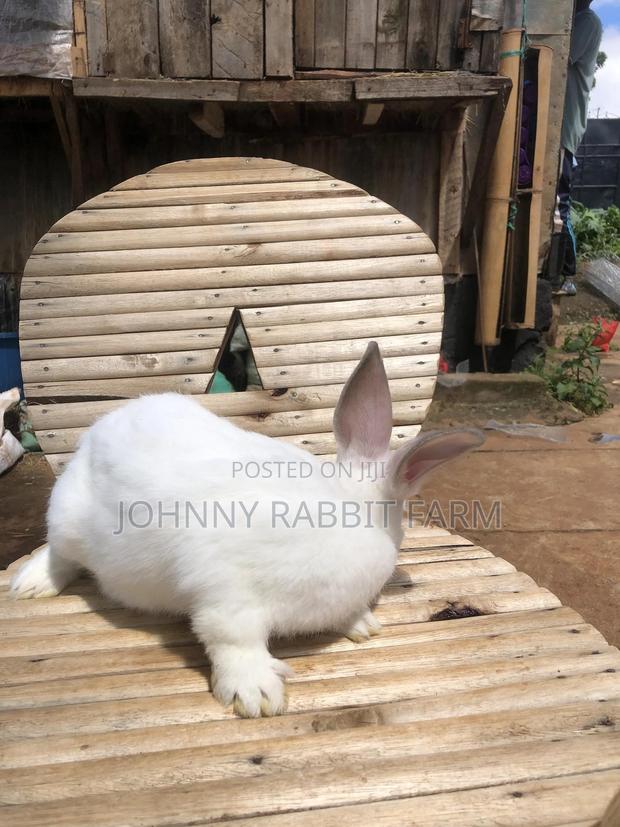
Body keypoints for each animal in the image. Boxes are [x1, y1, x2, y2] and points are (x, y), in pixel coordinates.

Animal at [11, 342, 483, 718]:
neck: (346, 506)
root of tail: (93, 436)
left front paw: (362, 624)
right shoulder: (226, 593)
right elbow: (231, 639)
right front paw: (256, 694)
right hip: (68, 521)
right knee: (58, 553)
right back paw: (31, 585)